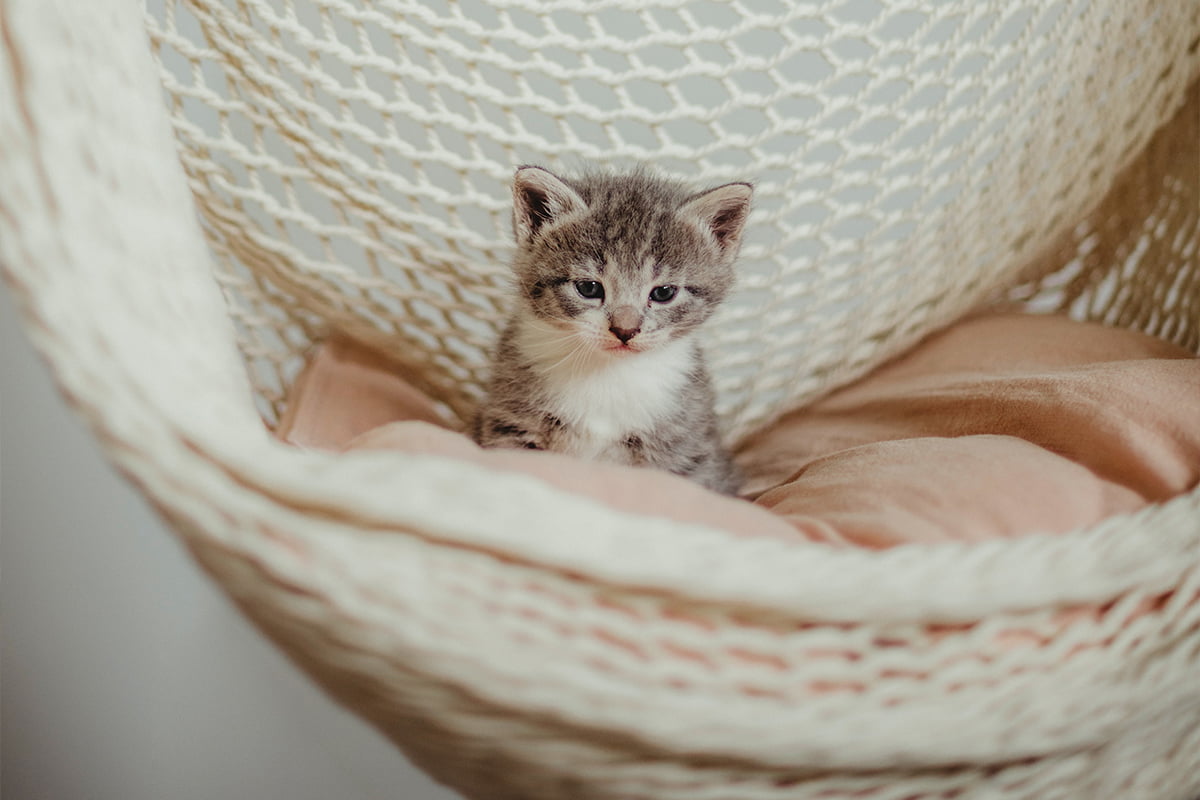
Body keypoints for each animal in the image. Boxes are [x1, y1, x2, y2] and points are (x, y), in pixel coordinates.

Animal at [468, 165, 748, 494]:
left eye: (663, 293)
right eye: (589, 288)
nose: (625, 330)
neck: (605, 374)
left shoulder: (684, 446)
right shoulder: (511, 421)